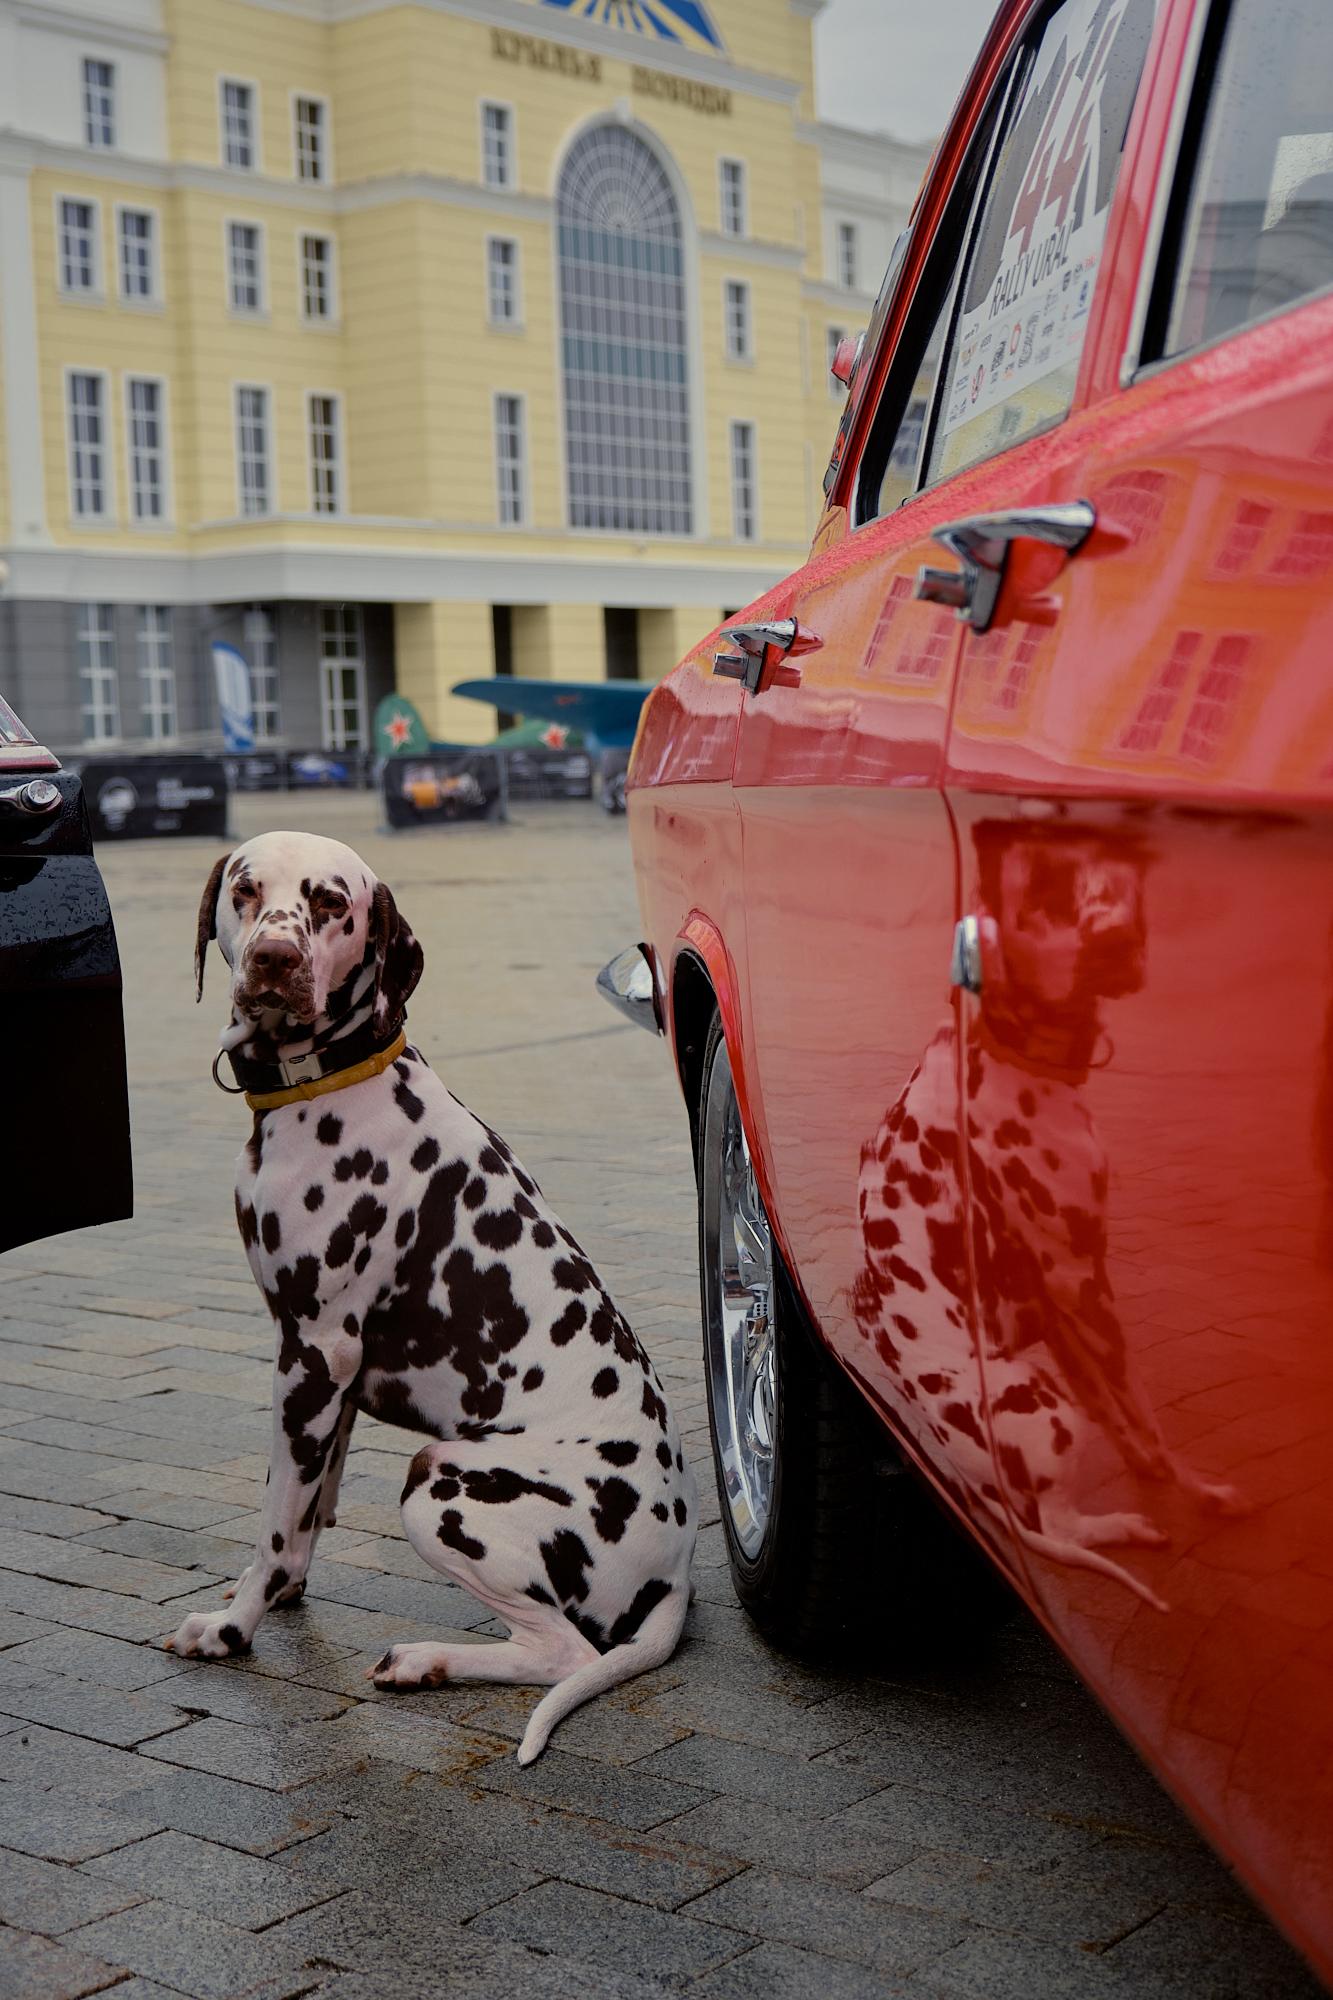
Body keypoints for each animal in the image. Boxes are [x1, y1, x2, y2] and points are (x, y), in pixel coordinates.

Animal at [171, 832, 696, 1768]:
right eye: (245, 890)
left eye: (329, 902)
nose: (274, 959)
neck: (328, 1085)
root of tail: (677, 1569)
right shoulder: (330, 1379)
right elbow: (307, 1509)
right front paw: (280, 1591)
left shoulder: (312, 1355)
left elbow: (274, 1523)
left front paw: (234, 1626)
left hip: (441, 1484)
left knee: (561, 1651)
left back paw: (426, 1660)